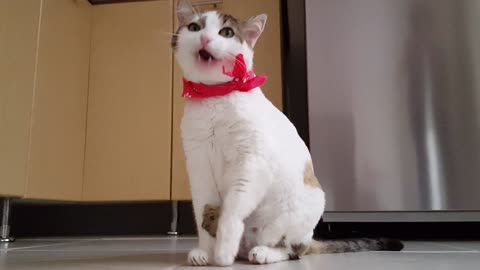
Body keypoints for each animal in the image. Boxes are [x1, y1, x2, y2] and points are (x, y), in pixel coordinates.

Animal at [171, 0, 404, 266]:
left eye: (226, 32)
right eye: (194, 27)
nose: (205, 38)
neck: (214, 98)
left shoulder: (252, 163)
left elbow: (231, 209)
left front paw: (222, 252)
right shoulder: (199, 163)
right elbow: (204, 208)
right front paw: (207, 252)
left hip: (303, 210)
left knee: (293, 250)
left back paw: (263, 252)